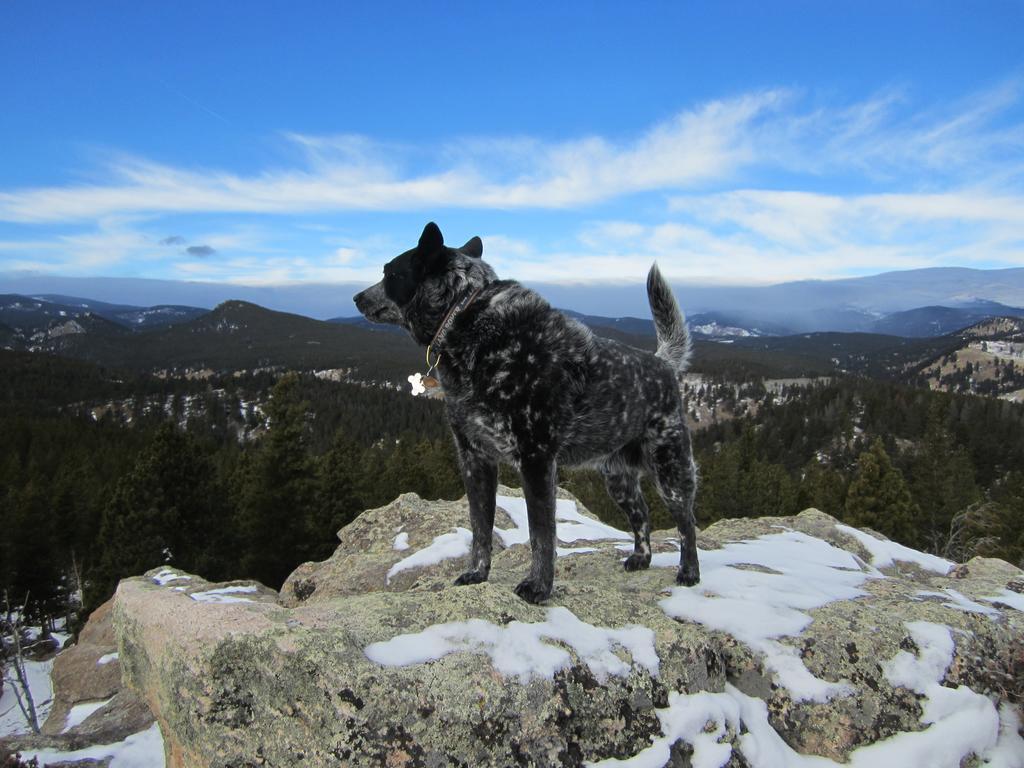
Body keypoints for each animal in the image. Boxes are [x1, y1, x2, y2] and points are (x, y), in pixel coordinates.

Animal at [356, 219, 700, 606]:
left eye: (390, 272)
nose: (357, 297)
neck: (467, 316)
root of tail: (662, 364)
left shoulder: (536, 461)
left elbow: (541, 534)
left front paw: (539, 587)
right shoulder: (475, 459)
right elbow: (480, 528)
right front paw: (478, 574)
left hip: (671, 470)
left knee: (687, 523)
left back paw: (689, 571)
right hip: (618, 480)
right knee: (642, 517)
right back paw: (641, 557)